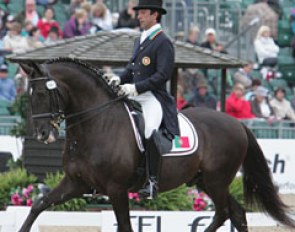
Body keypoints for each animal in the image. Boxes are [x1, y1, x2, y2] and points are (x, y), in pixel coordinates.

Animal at [19, 58, 294, 232]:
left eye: (42, 94)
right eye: (28, 97)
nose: (42, 134)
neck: (95, 124)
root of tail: (237, 124)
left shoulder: (116, 189)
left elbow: (126, 226)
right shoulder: (76, 183)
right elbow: (38, 205)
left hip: (217, 180)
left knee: (224, 213)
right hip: (205, 181)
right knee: (235, 213)